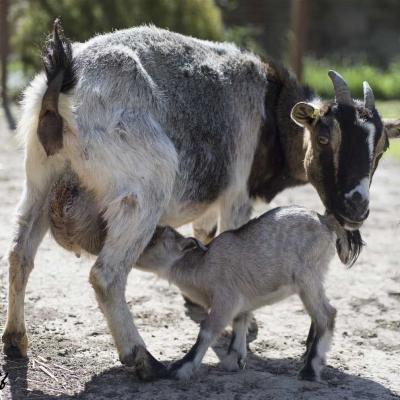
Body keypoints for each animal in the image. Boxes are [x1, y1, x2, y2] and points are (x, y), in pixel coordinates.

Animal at [136, 206, 354, 382]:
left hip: (307, 279)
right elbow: (240, 323)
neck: (202, 265)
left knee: (326, 315)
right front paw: (235, 361)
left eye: (153, 241)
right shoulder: (241, 300)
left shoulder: (226, 299)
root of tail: (325, 220)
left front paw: (181, 368)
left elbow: (207, 331)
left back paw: (310, 369)